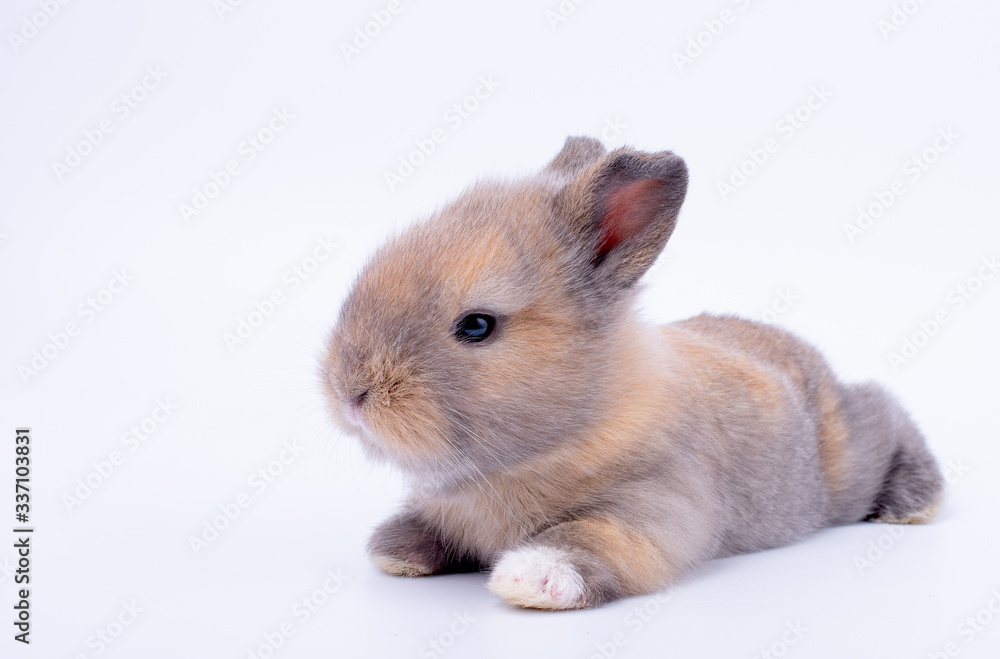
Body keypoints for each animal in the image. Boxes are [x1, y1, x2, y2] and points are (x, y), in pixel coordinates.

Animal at [320, 136, 944, 610]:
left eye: (476, 326)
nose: (350, 393)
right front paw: (396, 551)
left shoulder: (654, 505)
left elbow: (587, 538)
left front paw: (530, 578)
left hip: (851, 458)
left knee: (888, 412)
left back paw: (912, 504)